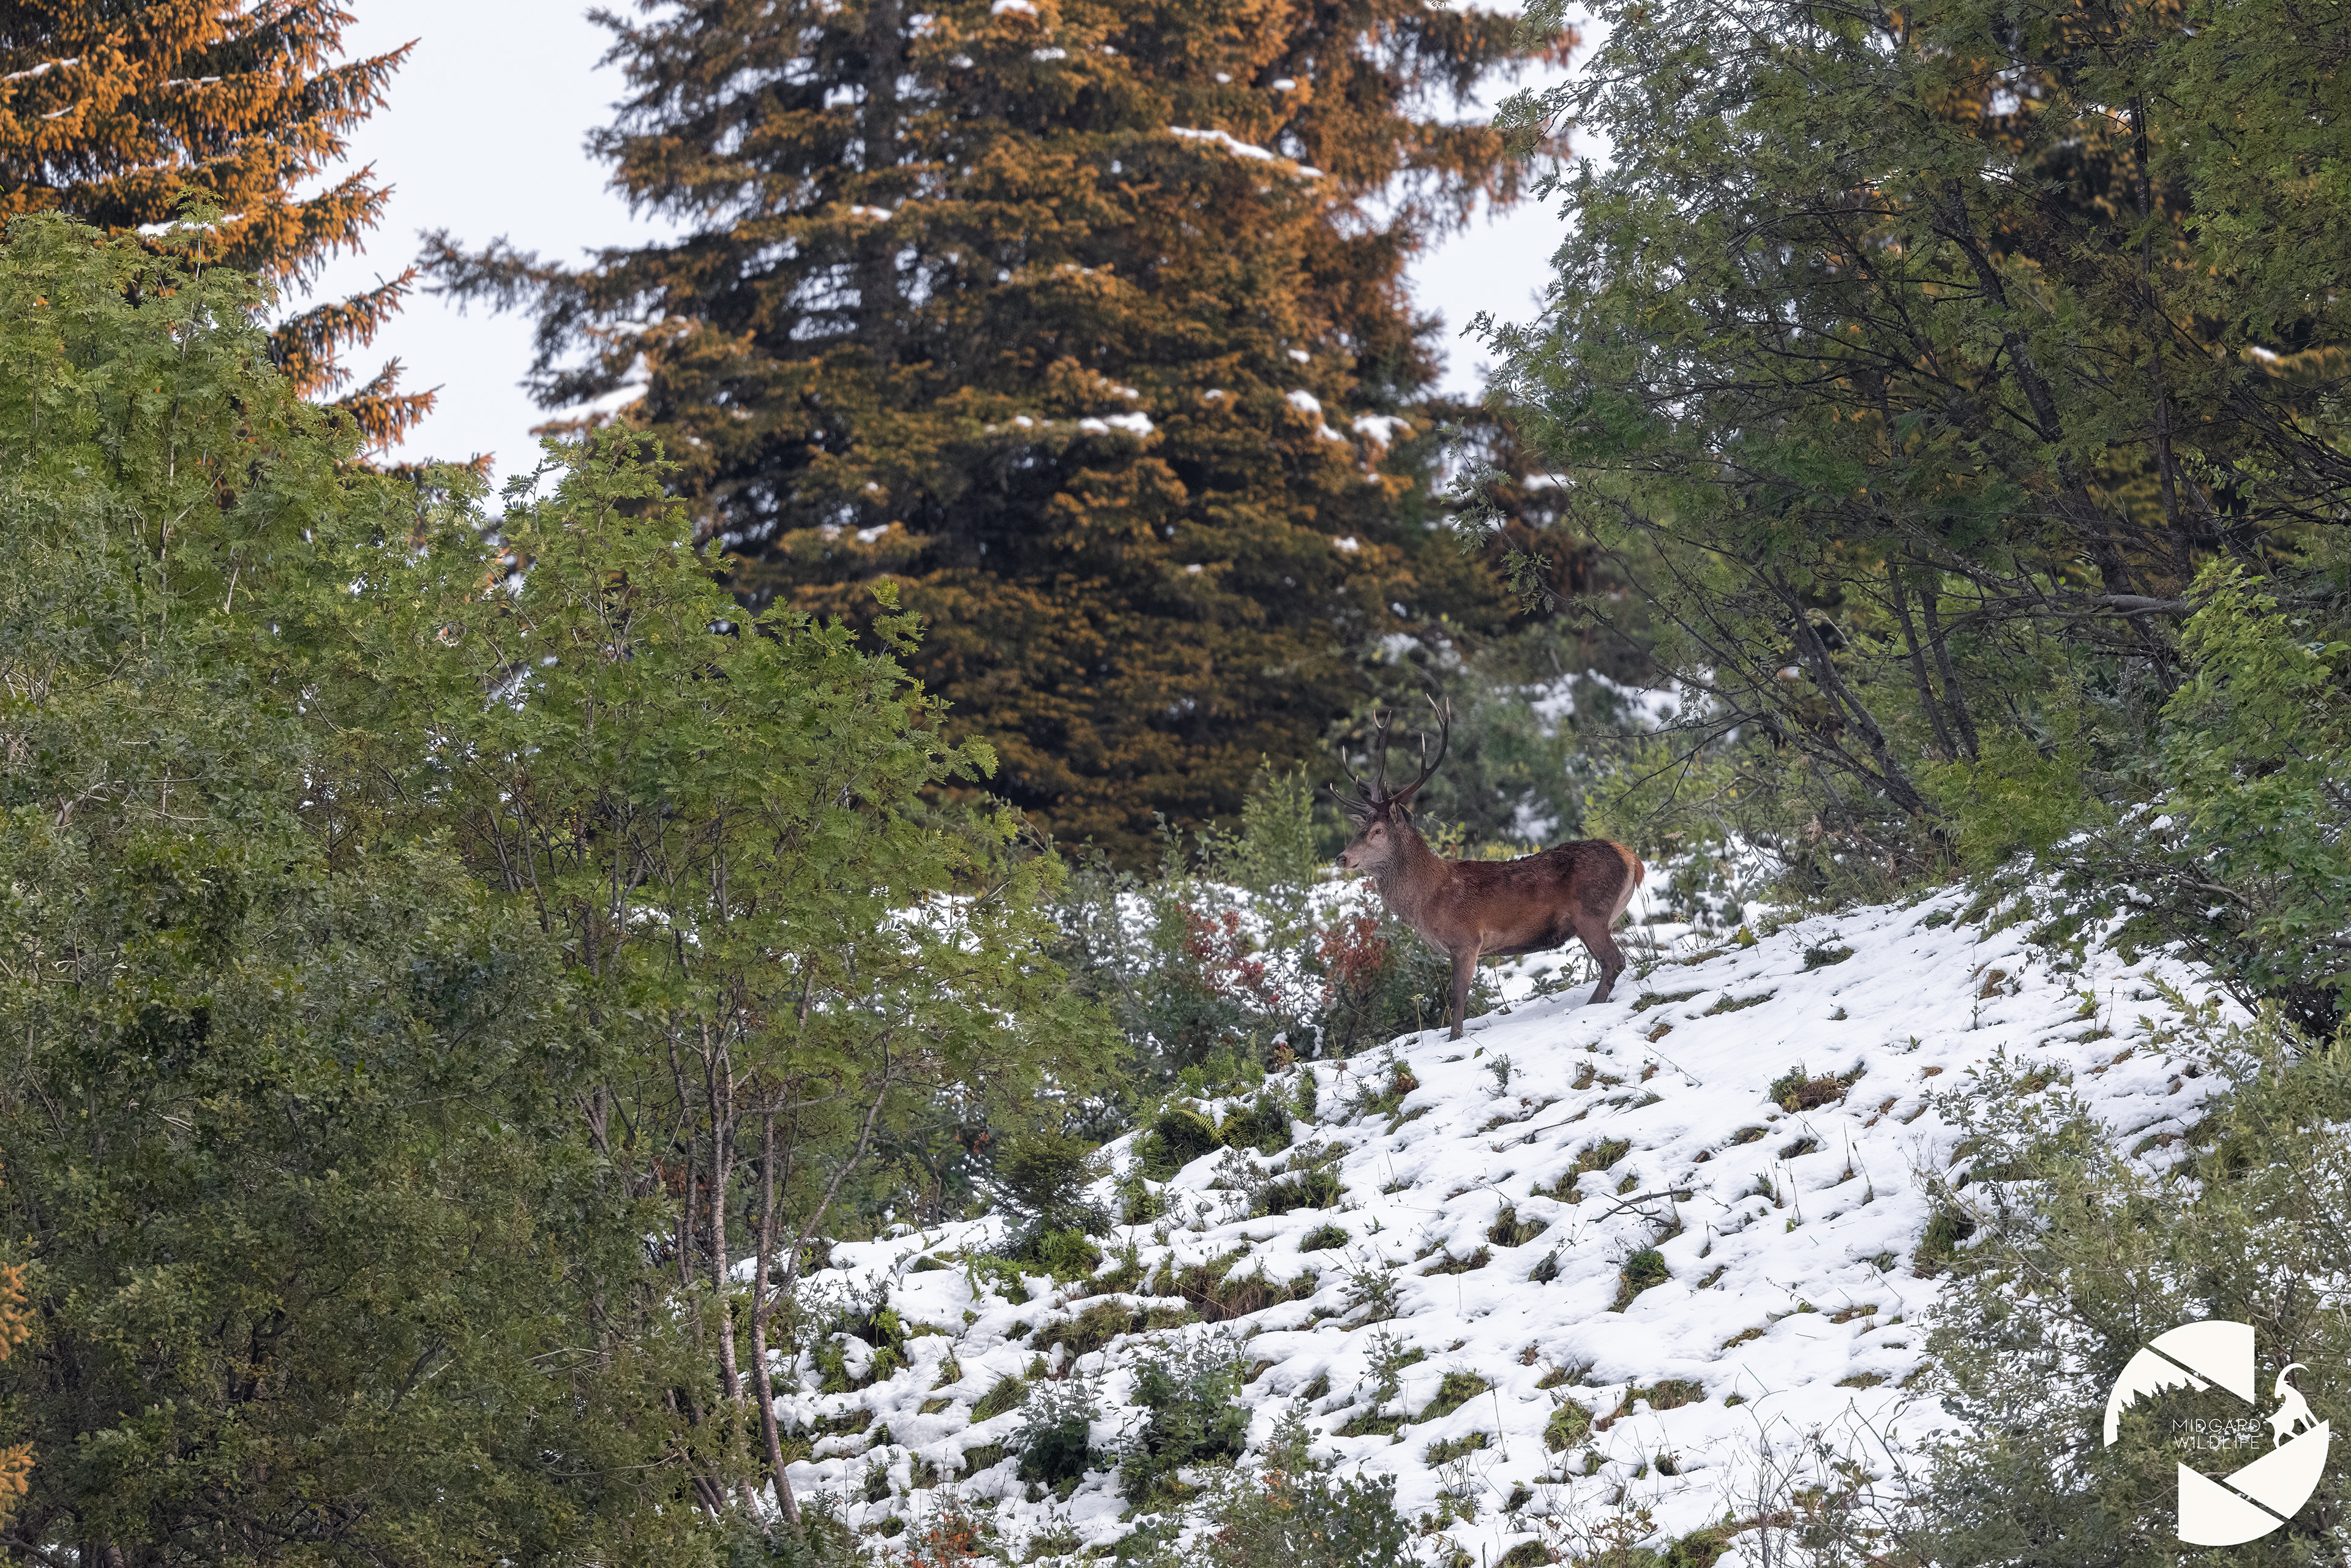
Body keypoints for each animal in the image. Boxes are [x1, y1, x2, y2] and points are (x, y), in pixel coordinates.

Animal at [1331, 699, 1645, 1040]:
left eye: (1377, 831)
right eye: (1359, 829)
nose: (1341, 858)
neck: (1429, 901)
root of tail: (1632, 859)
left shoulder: (1467, 940)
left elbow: (1457, 998)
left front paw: (1454, 1039)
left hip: (1591, 912)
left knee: (1614, 961)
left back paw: (1588, 1007)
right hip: (1594, 919)